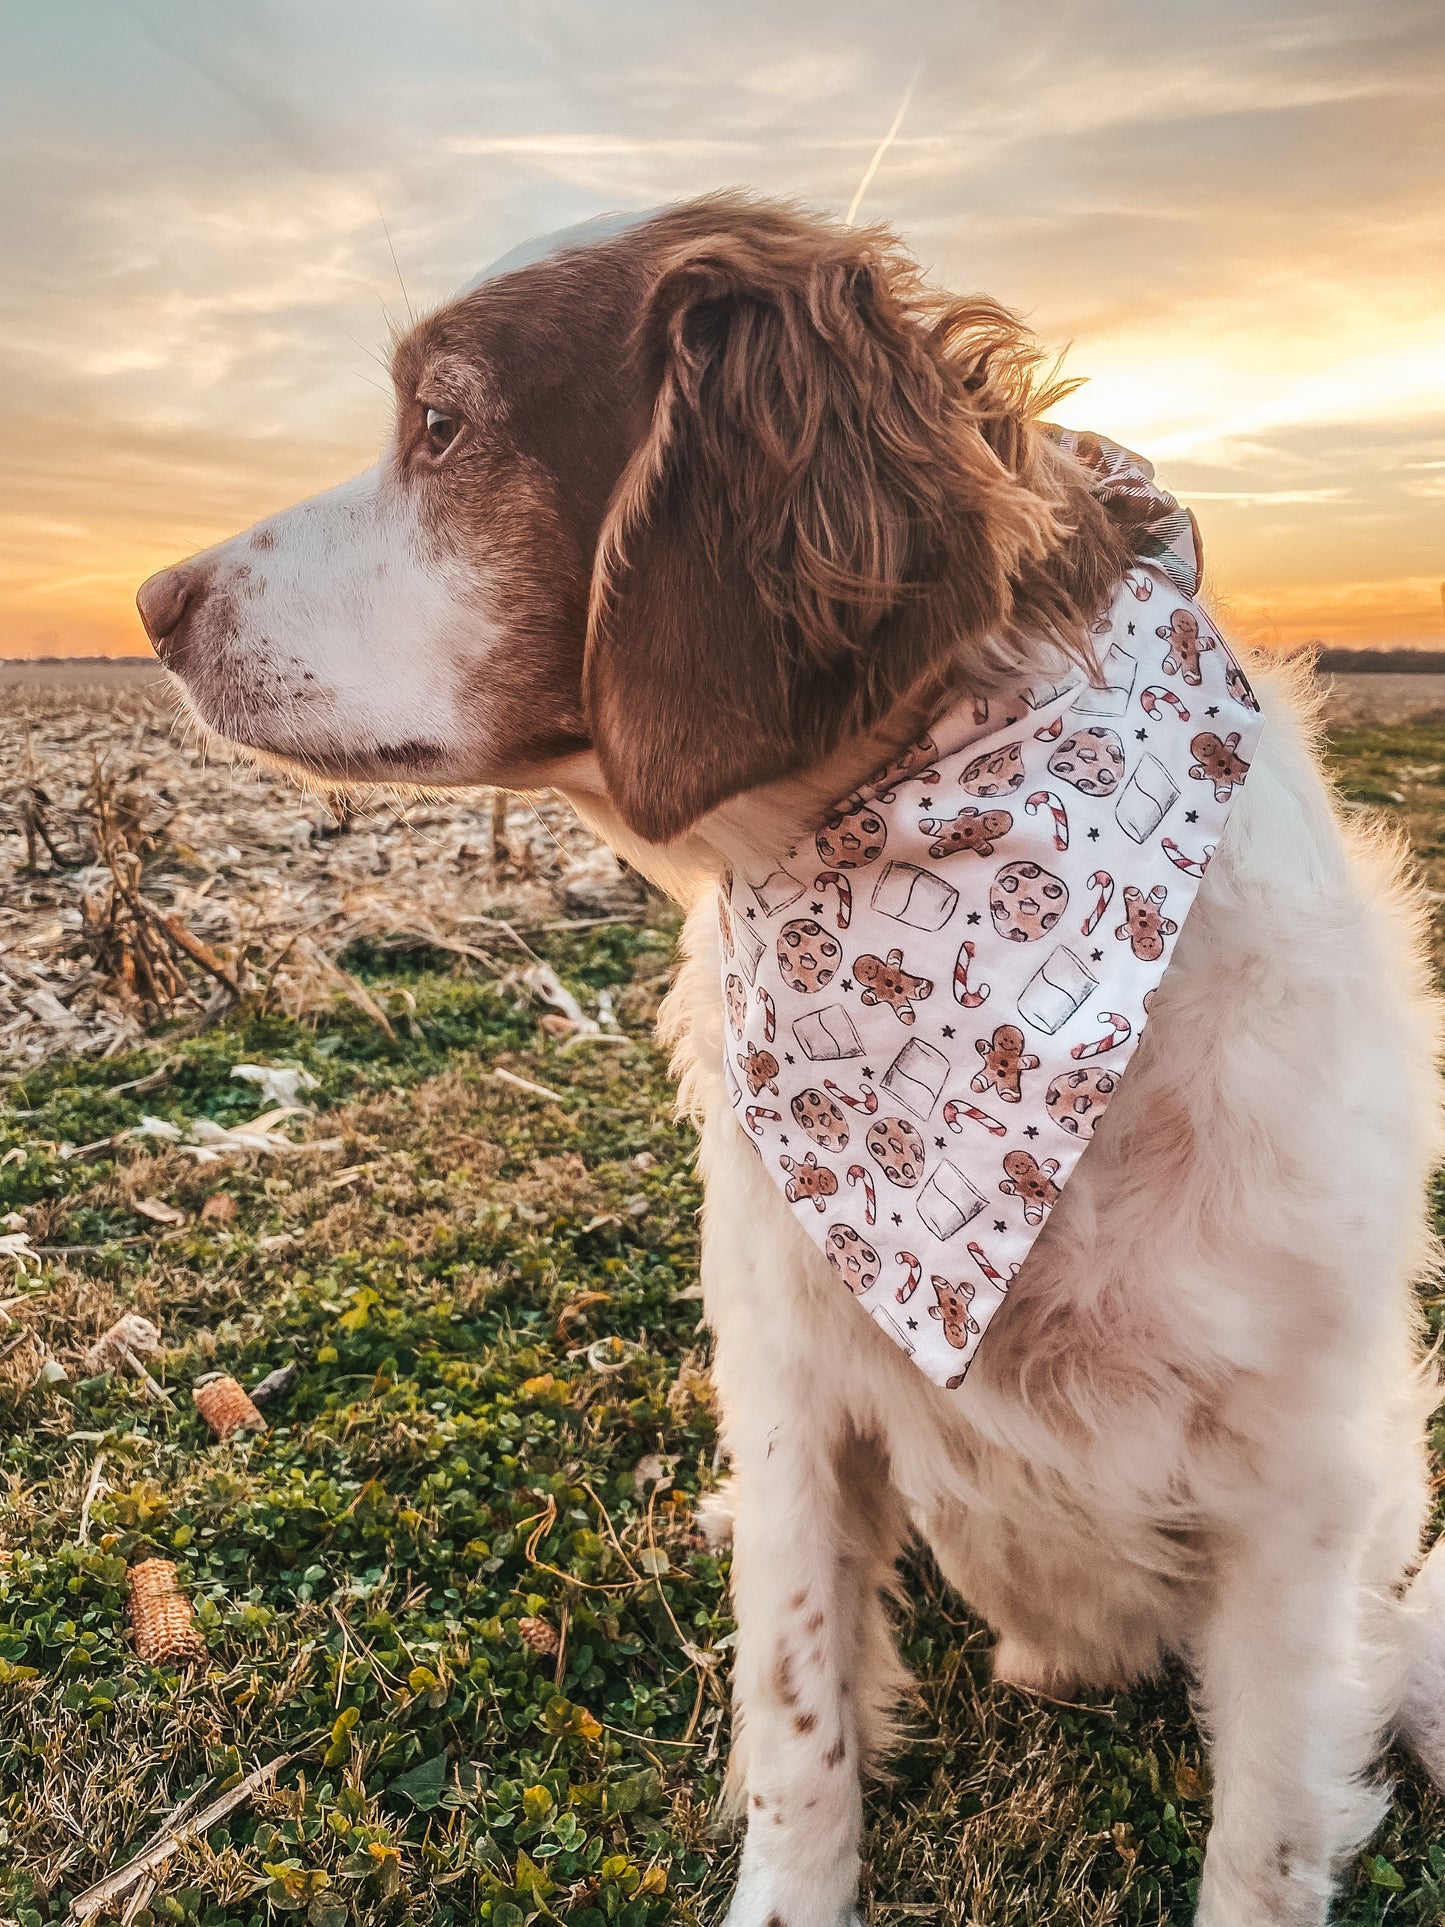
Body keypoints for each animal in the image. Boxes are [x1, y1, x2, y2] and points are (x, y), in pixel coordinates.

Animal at [141, 195, 1445, 1927]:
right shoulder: (792, 1384)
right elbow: (800, 1704)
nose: (152, 602)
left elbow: (1266, 1831)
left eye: (443, 424)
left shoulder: (1294, 1491)